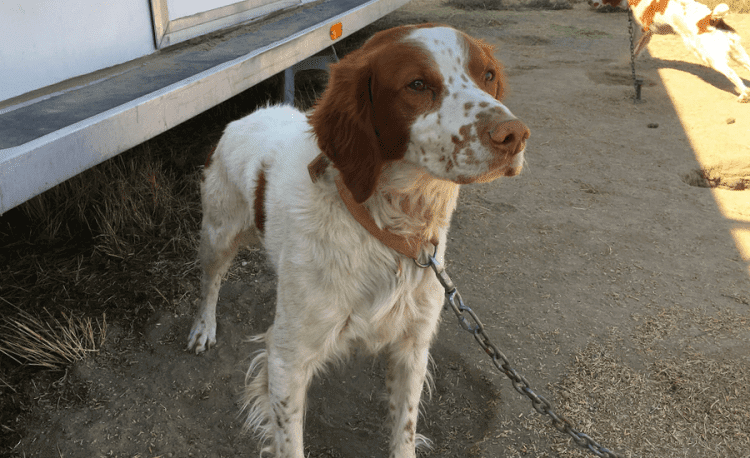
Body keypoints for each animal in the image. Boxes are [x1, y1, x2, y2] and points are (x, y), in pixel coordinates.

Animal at [187, 25, 528, 458]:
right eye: (417, 84)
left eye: (487, 75)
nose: (514, 135)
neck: (388, 231)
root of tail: (252, 114)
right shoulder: (286, 359)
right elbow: (291, 441)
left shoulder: (412, 347)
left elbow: (404, 430)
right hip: (218, 232)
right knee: (210, 282)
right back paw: (203, 328)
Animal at [592, 0, 750, 101]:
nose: (588, 2)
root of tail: (711, 19)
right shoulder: (648, 34)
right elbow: (635, 53)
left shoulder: (640, 30)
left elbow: (631, 49)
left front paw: (617, 64)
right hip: (738, 54)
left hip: (711, 58)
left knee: (732, 74)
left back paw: (744, 95)